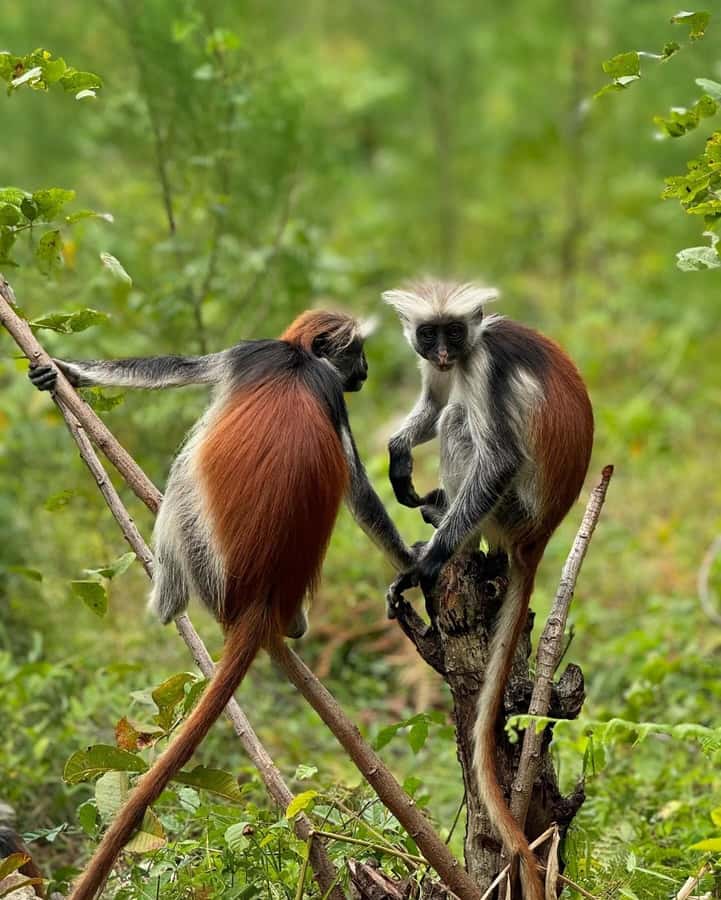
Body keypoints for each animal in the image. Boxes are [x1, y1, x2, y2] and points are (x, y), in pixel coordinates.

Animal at [30, 310, 414, 900]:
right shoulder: (319, 386)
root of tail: (261, 598)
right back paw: (294, 625)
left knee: (185, 473)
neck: (298, 359)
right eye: (358, 355)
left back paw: (165, 598)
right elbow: (360, 492)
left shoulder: (250, 354)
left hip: (208, 560)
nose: (367, 372)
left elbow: (179, 370)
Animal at [383, 281, 593, 900]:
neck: (468, 352)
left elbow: (493, 455)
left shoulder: (483, 367)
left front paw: (424, 567)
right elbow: (431, 406)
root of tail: (540, 534)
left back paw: (448, 533)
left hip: (511, 509)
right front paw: (399, 453)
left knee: (461, 422)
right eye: (431, 334)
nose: (443, 354)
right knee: (449, 412)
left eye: (456, 334)